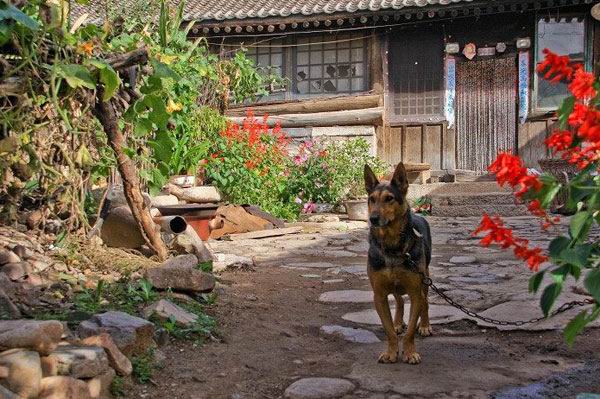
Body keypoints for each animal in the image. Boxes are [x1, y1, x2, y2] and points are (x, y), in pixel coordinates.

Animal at [364, 162, 428, 366]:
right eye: (371, 199)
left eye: (389, 199)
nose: (373, 219)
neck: (392, 246)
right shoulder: (379, 295)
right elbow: (389, 330)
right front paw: (391, 352)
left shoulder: (416, 292)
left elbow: (410, 331)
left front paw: (410, 352)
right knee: (399, 300)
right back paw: (399, 322)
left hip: (426, 279)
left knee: (426, 302)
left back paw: (425, 326)